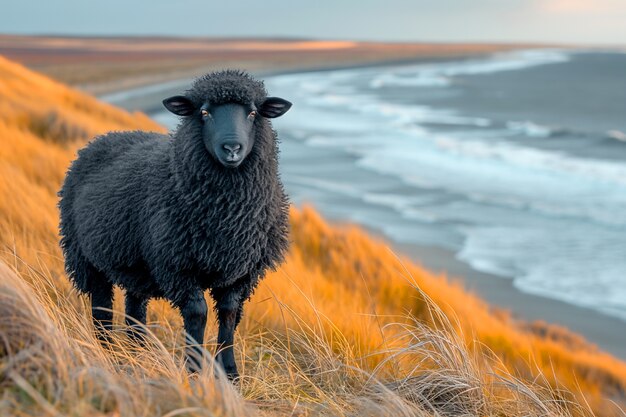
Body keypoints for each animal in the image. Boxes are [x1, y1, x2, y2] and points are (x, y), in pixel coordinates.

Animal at [58, 70, 290, 376]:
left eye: (253, 113)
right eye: (204, 112)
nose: (232, 148)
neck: (228, 217)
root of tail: (105, 137)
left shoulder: (242, 273)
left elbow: (229, 314)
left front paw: (229, 373)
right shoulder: (177, 265)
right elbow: (198, 313)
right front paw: (194, 370)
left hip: (137, 266)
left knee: (135, 308)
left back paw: (138, 352)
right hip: (86, 257)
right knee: (102, 306)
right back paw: (106, 350)